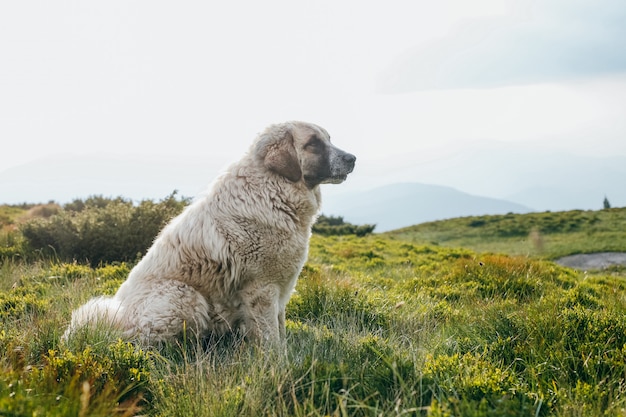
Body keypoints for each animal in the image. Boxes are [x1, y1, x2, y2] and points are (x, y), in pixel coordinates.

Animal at [64, 121, 356, 344]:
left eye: (329, 139)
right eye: (314, 144)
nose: (353, 158)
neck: (274, 188)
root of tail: (118, 318)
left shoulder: (280, 291)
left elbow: (280, 329)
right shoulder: (262, 290)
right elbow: (270, 338)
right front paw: (277, 366)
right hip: (184, 296)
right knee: (141, 339)